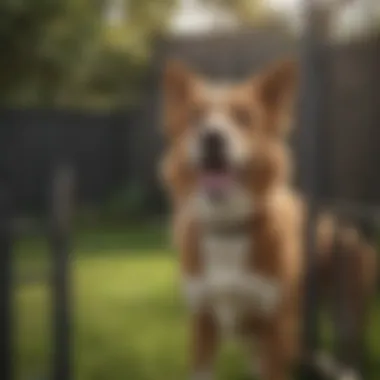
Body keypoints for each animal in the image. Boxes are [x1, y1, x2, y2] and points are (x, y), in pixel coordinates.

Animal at [159, 57, 376, 380]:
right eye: (195, 117)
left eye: (244, 117)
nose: (212, 137)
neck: (228, 228)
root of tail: (344, 224)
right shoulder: (202, 322)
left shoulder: (277, 327)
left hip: (346, 310)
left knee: (350, 351)